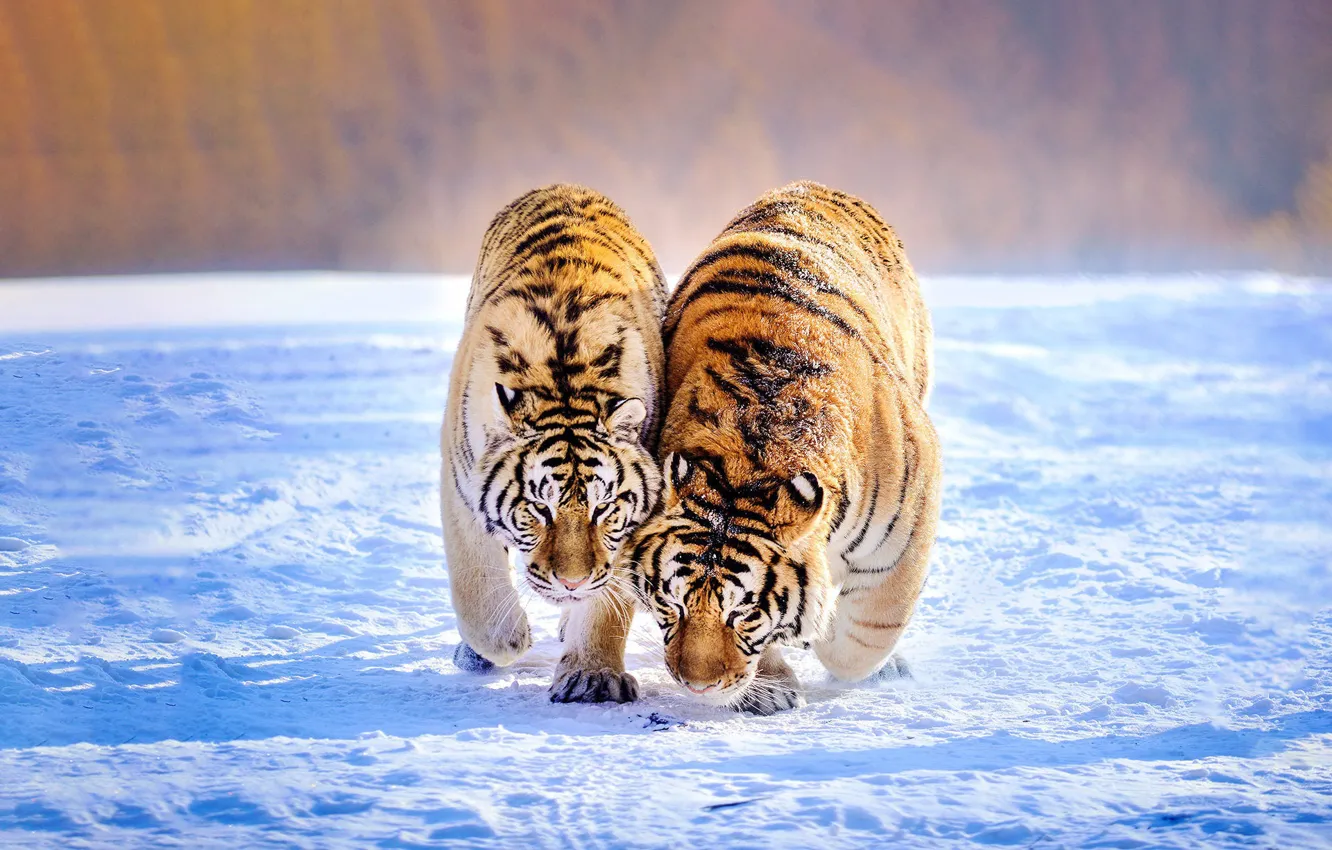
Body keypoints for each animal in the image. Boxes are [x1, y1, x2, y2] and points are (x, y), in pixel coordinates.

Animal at [441, 184, 666, 703]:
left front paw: (593, 676)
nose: (571, 582)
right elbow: (475, 579)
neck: (564, 383)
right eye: (538, 509)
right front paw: (504, 640)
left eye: (604, 509)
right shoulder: (459, 483)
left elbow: (607, 603)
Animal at [621, 181, 941, 715]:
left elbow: (872, 625)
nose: (696, 686)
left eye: (743, 612)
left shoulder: (912, 513)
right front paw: (770, 688)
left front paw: (834, 643)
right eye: (675, 602)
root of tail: (812, 186)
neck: (750, 461)